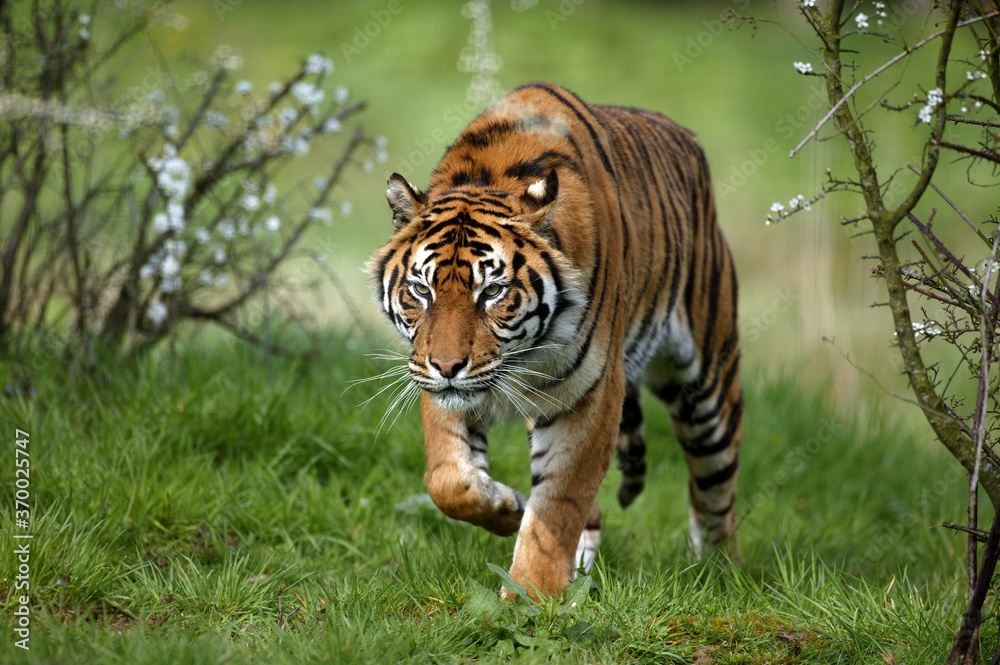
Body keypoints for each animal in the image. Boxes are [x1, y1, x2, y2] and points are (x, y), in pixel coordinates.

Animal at [367, 82, 742, 599]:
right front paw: (507, 509)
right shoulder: (432, 379)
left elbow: (559, 504)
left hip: (708, 387)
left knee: (716, 490)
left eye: (493, 292)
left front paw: (531, 595)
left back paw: (719, 575)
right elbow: (448, 480)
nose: (448, 367)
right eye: (421, 290)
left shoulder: (591, 393)